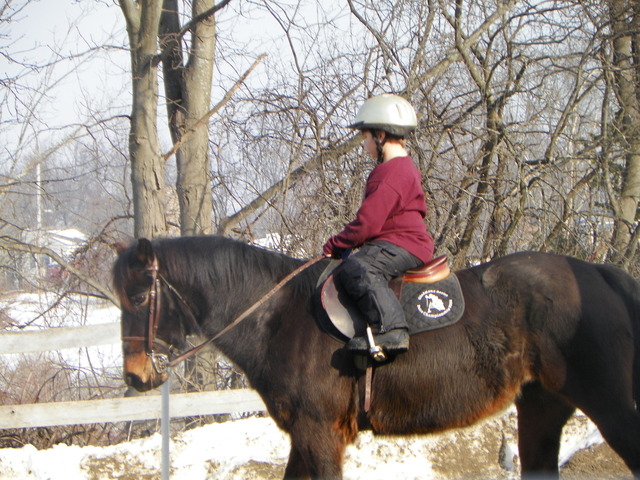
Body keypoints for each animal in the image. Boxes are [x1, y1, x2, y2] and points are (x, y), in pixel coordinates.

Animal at [113, 235, 640, 479]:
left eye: (138, 298)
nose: (135, 377)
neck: (278, 314)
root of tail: (595, 272)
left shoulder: (320, 435)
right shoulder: (305, 436)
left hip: (610, 407)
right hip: (541, 409)